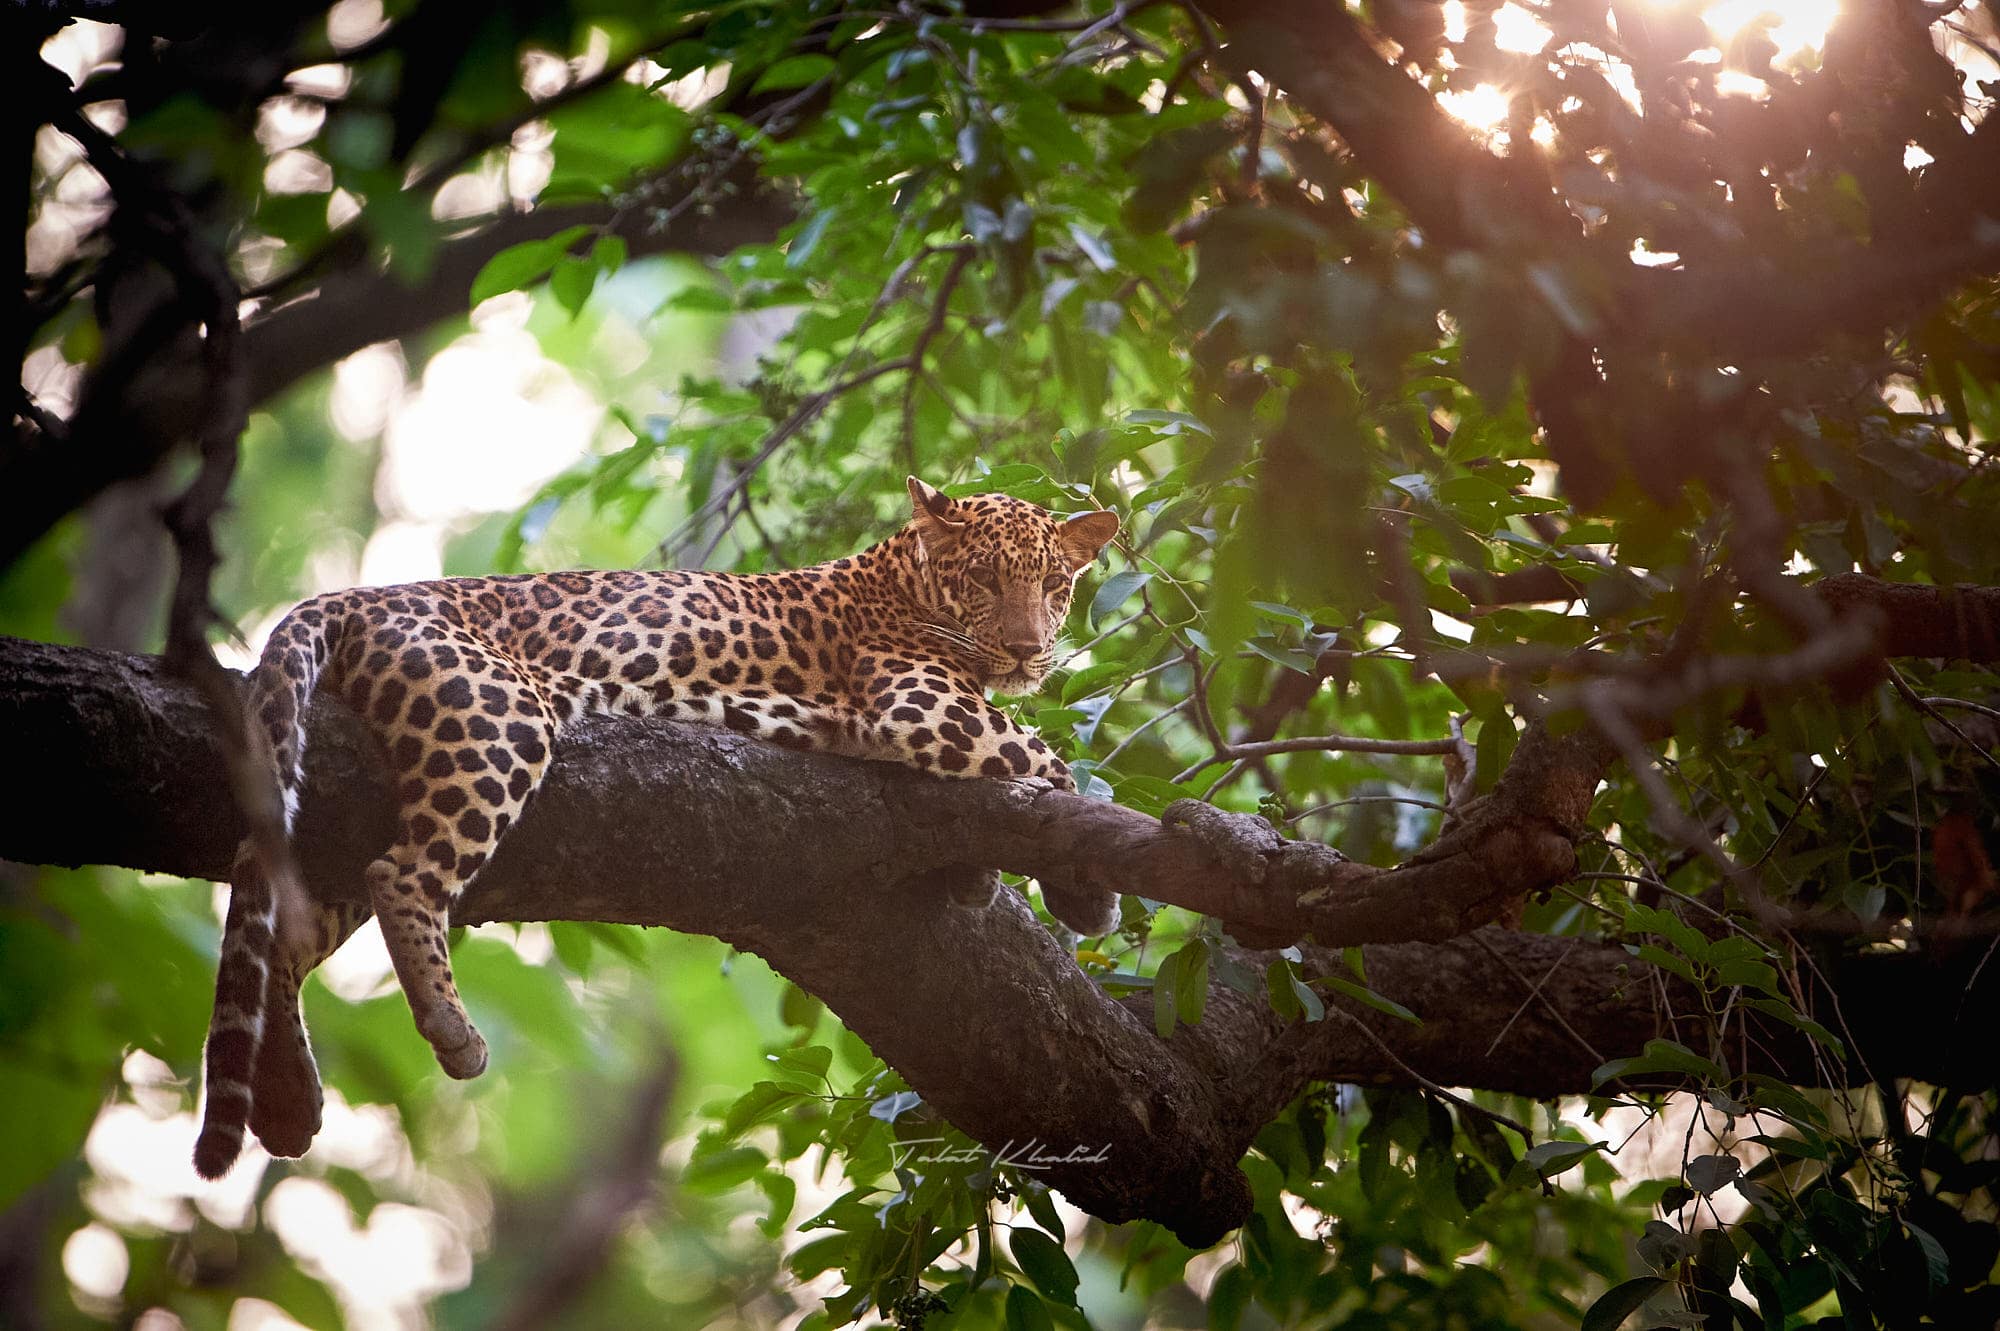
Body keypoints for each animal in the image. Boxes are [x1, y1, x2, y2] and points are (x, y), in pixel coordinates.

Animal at [192, 477, 1121, 1179]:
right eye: (984, 578)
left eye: (1054, 586)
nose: (1026, 649)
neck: (901, 577)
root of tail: (357, 592)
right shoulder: (923, 704)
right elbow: (1053, 759)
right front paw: (1086, 890)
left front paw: (980, 879)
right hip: (498, 713)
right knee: (404, 873)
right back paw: (452, 1032)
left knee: (294, 928)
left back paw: (289, 1096)